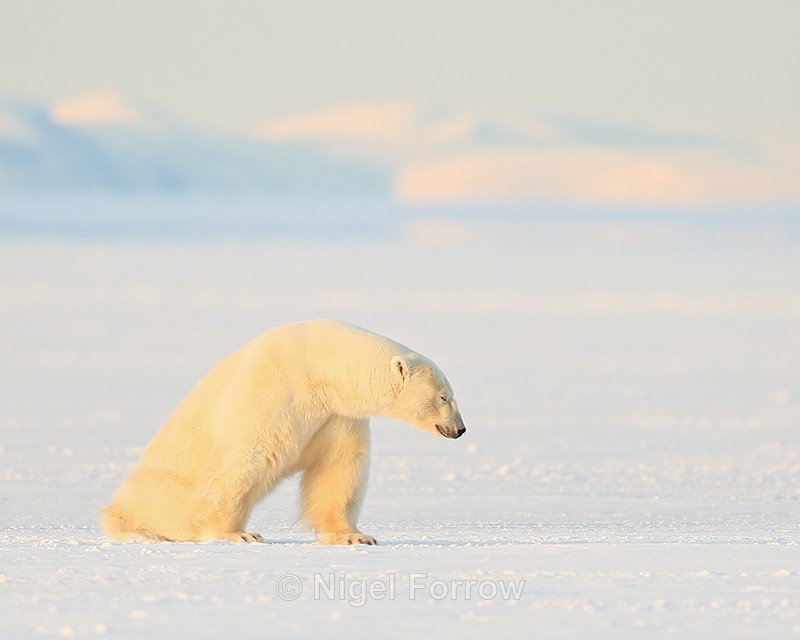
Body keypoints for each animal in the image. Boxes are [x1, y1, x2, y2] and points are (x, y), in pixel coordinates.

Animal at [101, 319, 465, 545]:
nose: (460, 429)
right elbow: (242, 460)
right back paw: (142, 532)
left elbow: (338, 468)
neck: (315, 366)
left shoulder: (336, 414)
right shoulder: (271, 387)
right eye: (444, 396)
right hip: (161, 484)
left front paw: (354, 536)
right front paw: (237, 534)